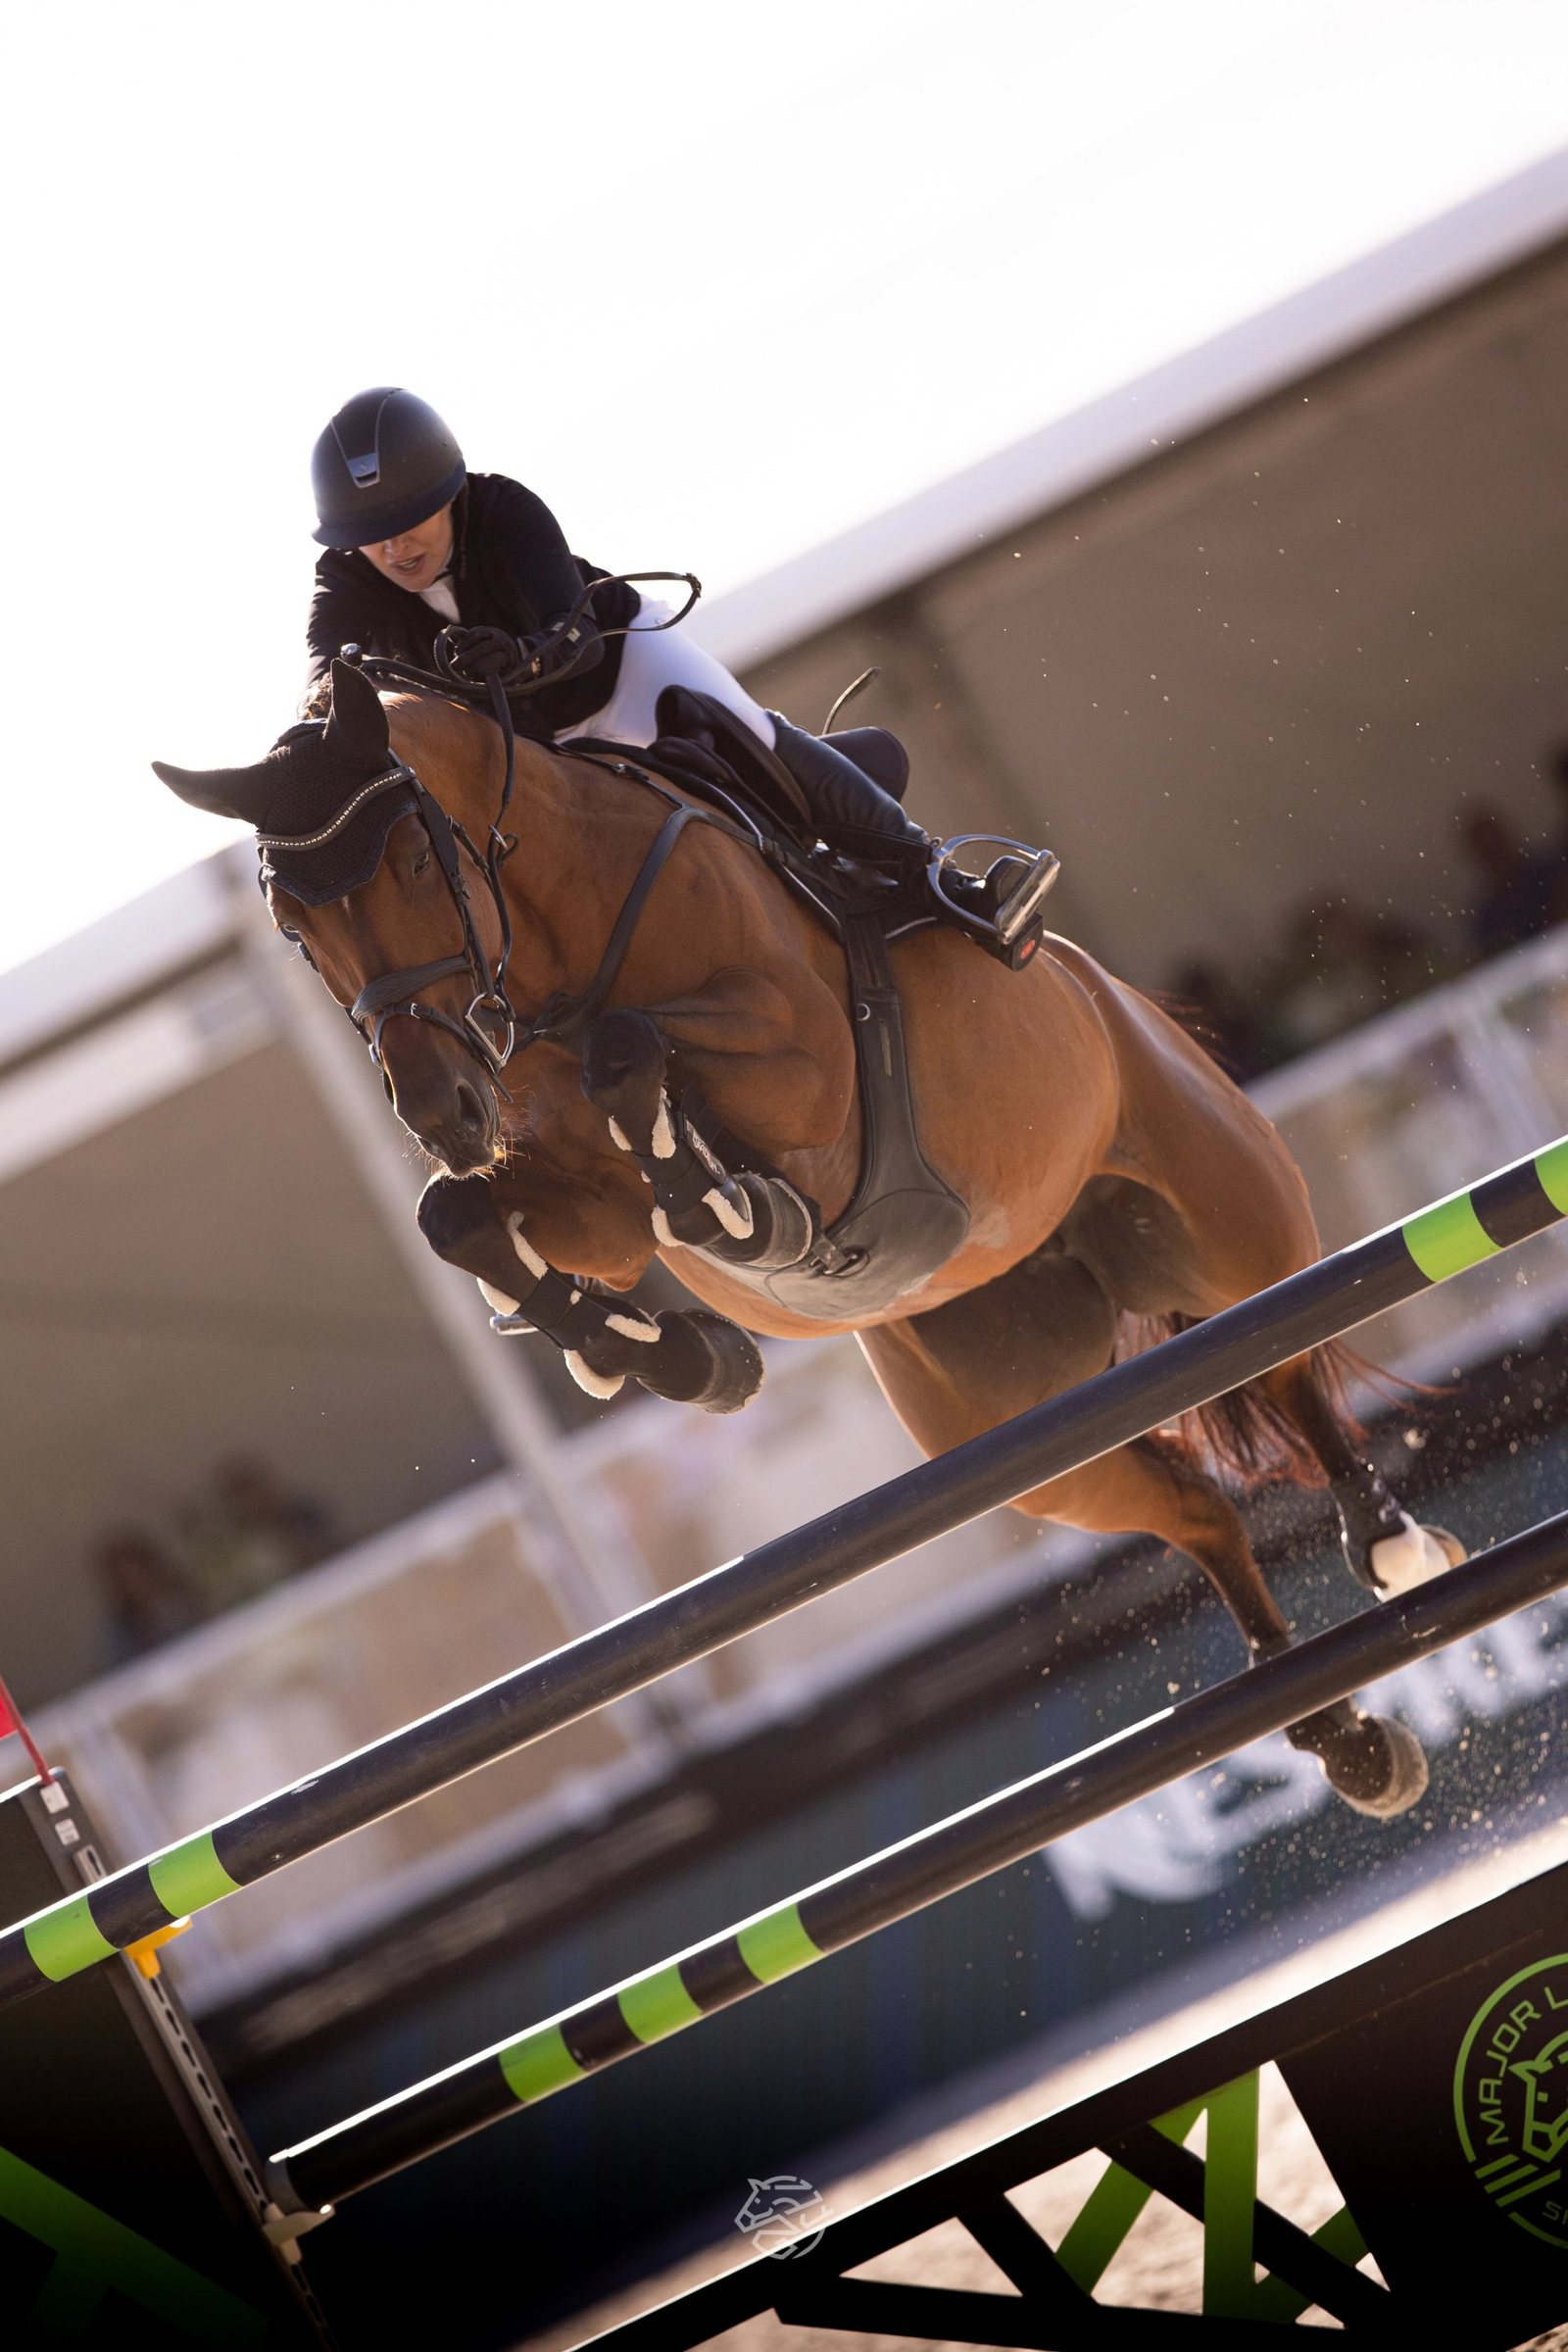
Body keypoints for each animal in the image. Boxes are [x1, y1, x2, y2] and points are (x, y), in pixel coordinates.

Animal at [154, 655, 1460, 1818]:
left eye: (421, 860)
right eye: (291, 922)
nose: (439, 1114)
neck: (560, 947)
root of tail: (1117, 999)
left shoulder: (807, 1081)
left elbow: (633, 1056)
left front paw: (732, 1216)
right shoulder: (584, 1201)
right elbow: (463, 1216)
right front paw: (667, 1355)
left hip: (1222, 1229)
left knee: (1284, 1367)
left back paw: (1390, 1543)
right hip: (1037, 1439)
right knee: (1195, 1508)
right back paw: (1342, 1736)